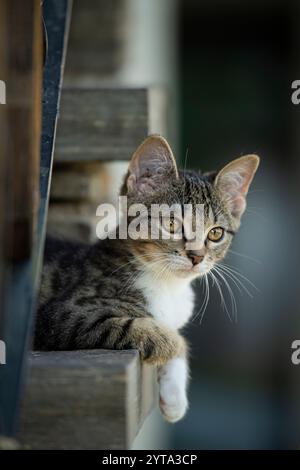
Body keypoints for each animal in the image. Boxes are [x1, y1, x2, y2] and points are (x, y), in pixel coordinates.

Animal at [34, 135, 260, 422]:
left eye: (216, 233)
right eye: (172, 224)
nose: (197, 256)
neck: (167, 283)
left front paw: (174, 396)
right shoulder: (65, 315)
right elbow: (157, 332)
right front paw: (174, 345)